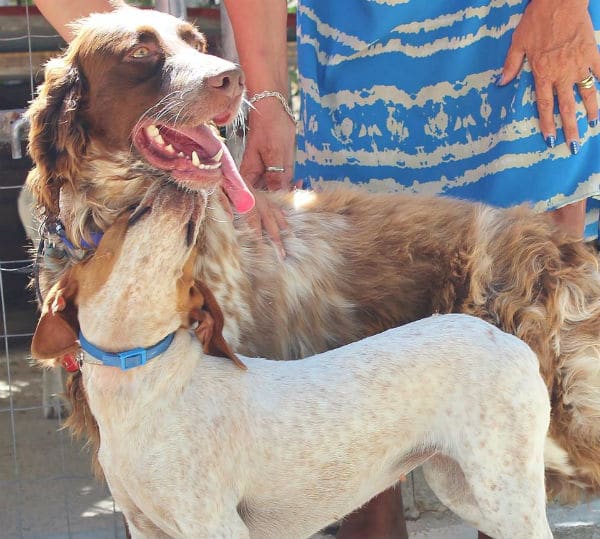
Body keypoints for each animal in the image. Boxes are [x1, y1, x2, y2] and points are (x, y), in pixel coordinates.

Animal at [31, 187, 552, 539]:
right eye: (123, 222)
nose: (181, 185)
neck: (143, 384)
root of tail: (510, 341)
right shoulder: (145, 527)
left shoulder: (216, 524)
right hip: (461, 485)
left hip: (505, 489)